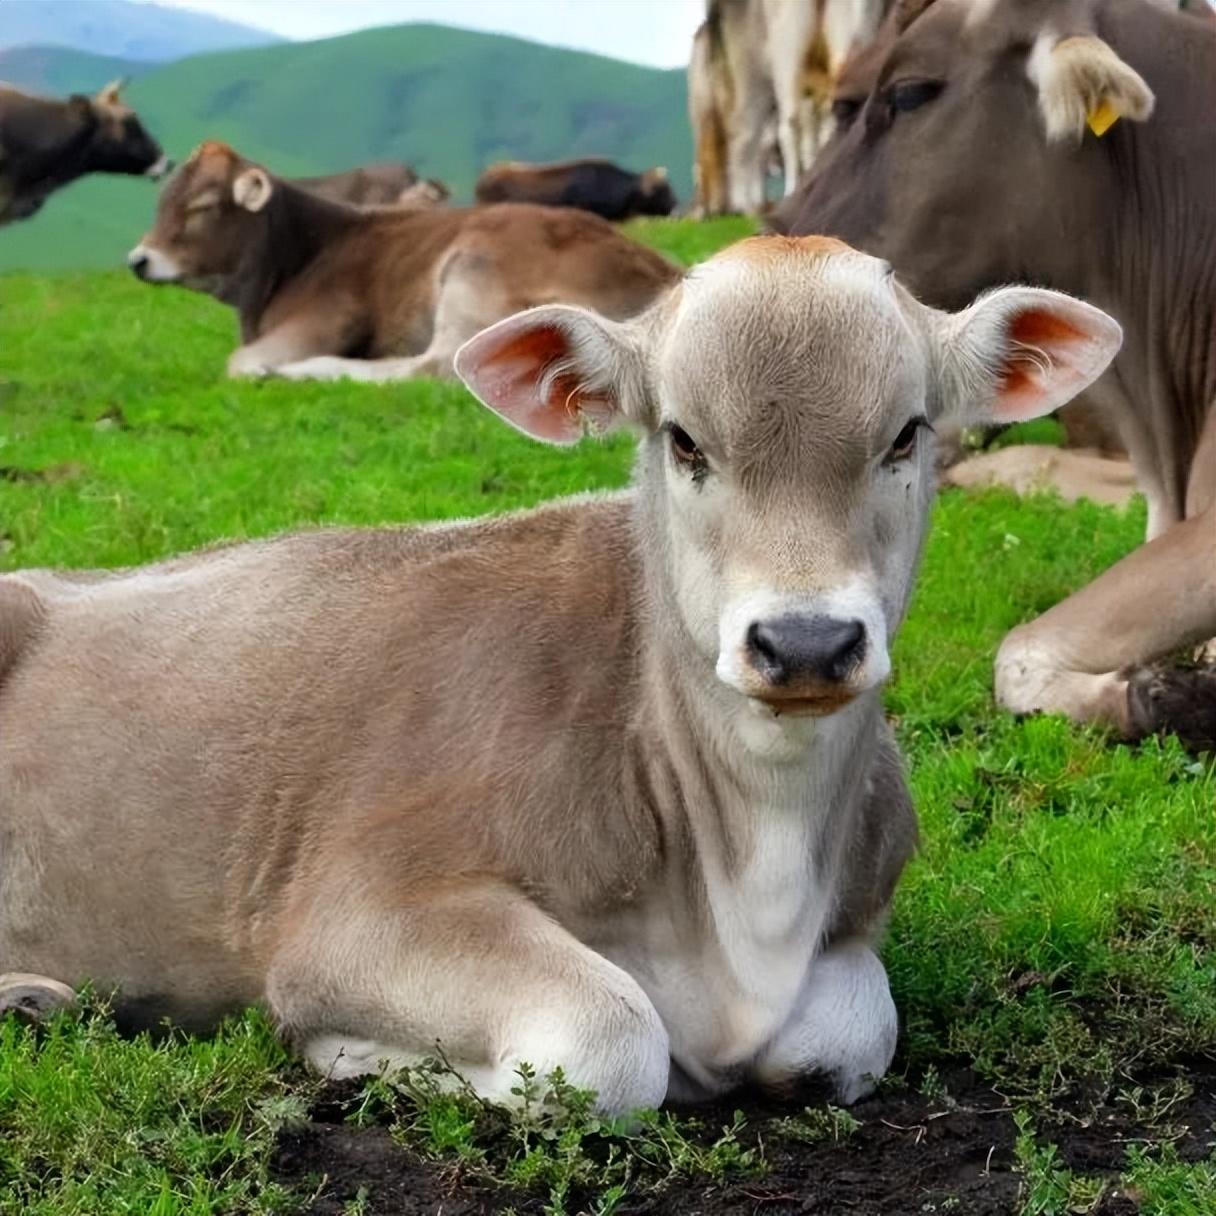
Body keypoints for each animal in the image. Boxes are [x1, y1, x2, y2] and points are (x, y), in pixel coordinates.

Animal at [0, 234, 1118, 1113]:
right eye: (682, 440)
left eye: (905, 434)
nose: (804, 643)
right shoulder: (356, 907)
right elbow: (611, 1042)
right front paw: (361, 1055)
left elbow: (844, 1037)